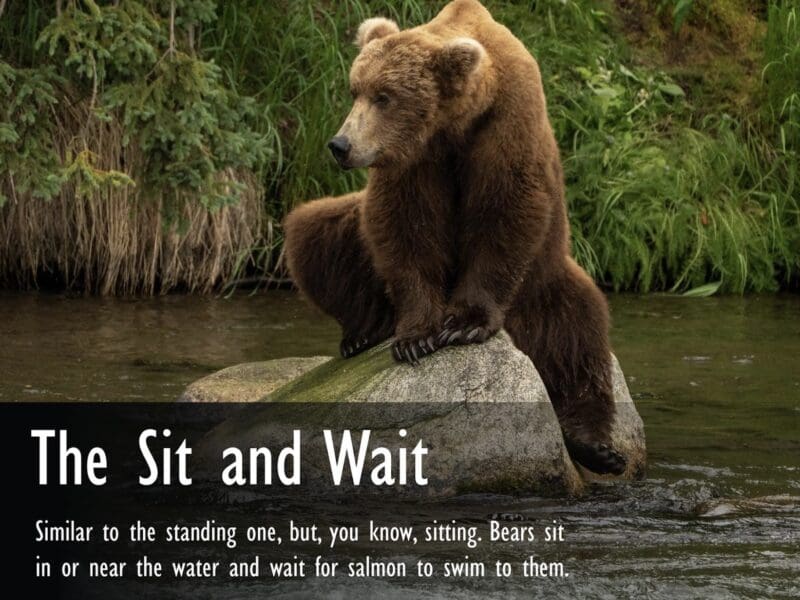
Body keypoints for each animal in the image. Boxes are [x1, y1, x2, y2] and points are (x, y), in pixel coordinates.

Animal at [283, 0, 625, 475]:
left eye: (384, 96)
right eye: (356, 90)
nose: (341, 144)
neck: (454, 125)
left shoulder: (504, 127)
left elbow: (504, 215)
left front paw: (463, 323)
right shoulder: (412, 161)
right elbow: (405, 229)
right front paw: (416, 336)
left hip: (545, 278)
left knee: (577, 330)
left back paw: (596, 445)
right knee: (314, 235)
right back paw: (364, 330)